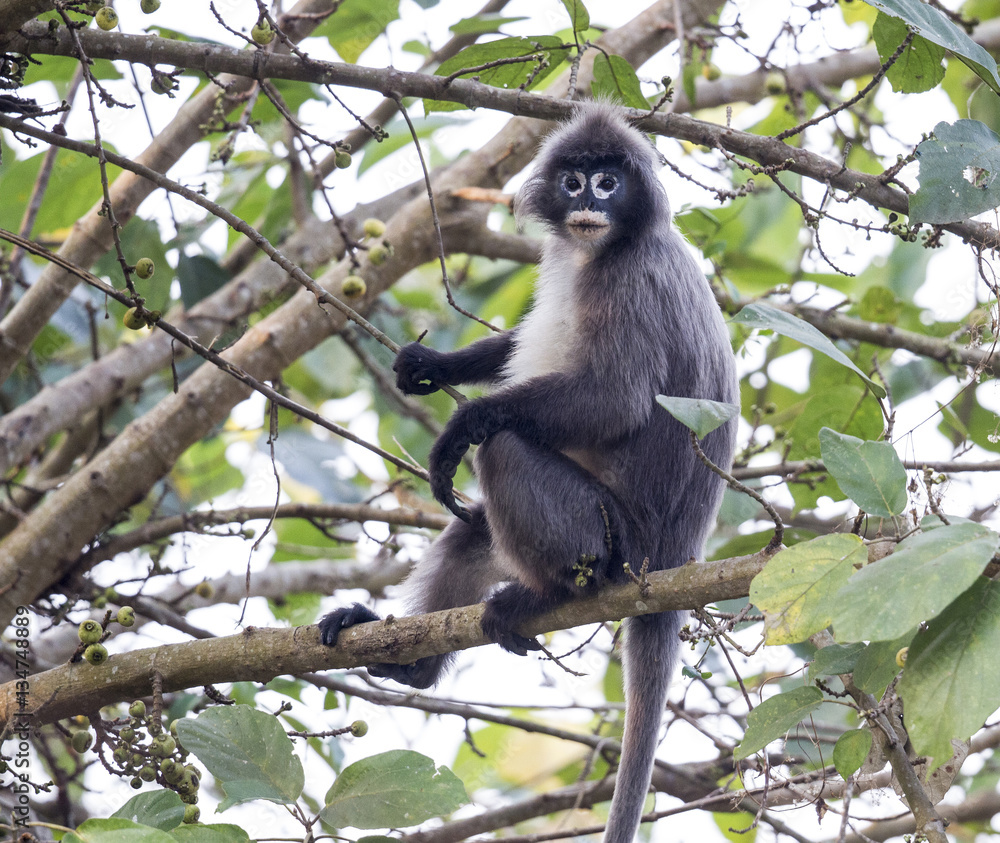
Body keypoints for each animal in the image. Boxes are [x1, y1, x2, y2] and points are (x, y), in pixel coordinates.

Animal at [320, 102, 738, 842]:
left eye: (608, 182)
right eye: (573, 182)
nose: (588, 202)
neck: (596, 250)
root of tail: (674, 560)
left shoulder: (630, 278)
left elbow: (614, 400)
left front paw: (463, 422)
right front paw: (438, 365)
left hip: (613, 537)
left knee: (505, 449)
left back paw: (546, 594)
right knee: (472, 531)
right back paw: (416, 665)